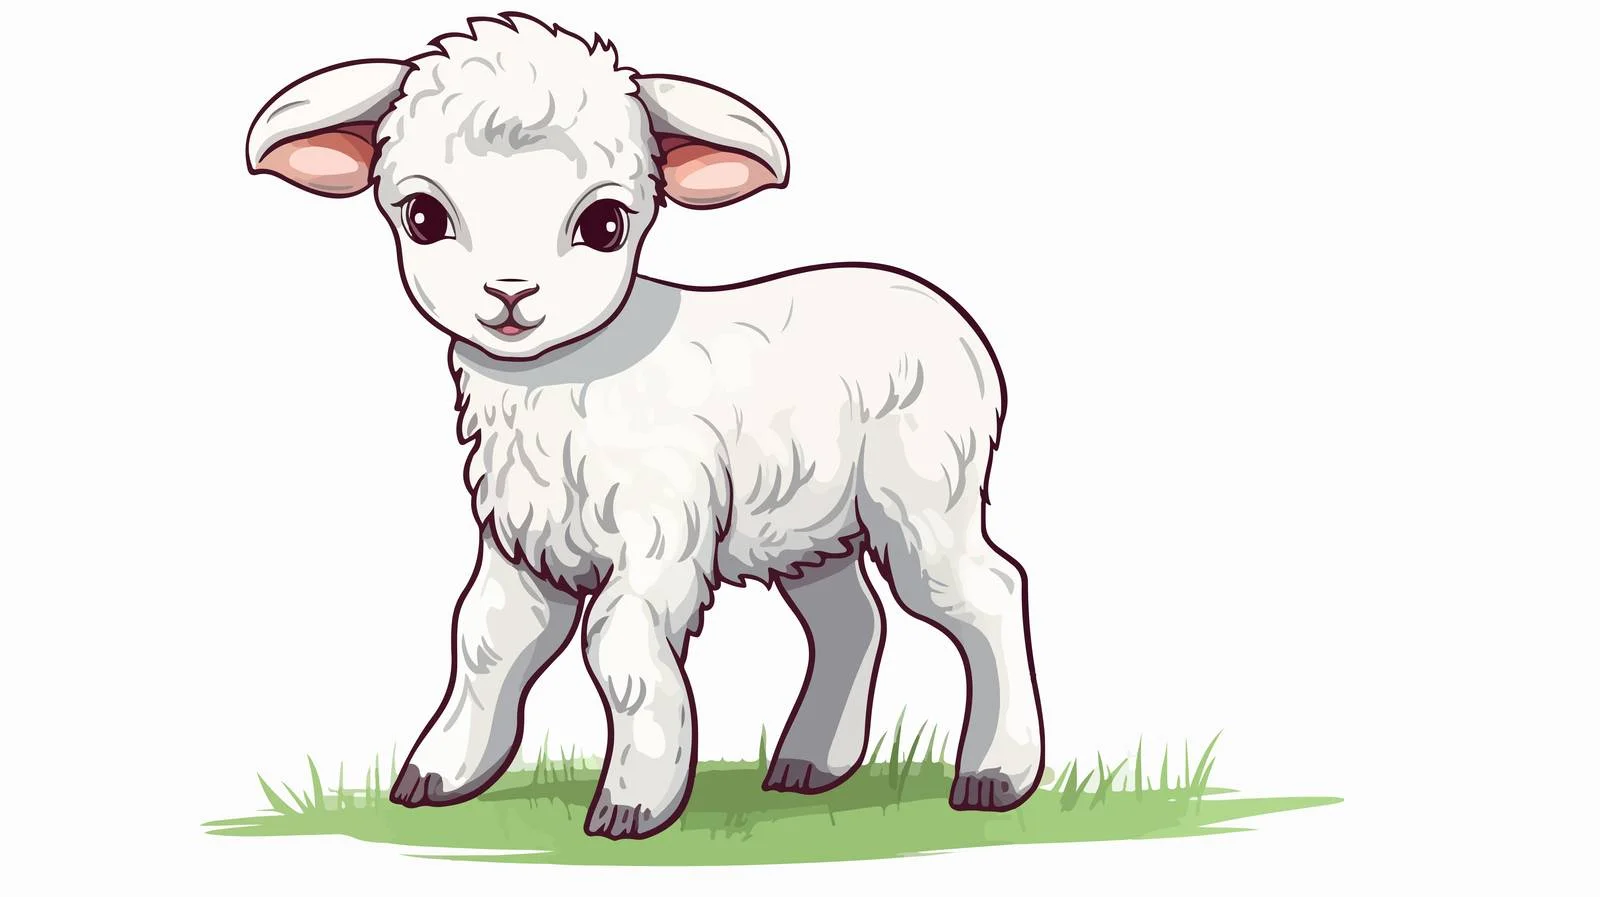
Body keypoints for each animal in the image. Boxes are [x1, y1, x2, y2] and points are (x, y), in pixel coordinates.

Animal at [244, 12, 1043, 839]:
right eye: (424, 216)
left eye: (604, 223)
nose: (510, 294)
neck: (566, 379)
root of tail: (950, 316)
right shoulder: (522, 535)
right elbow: (486, 639)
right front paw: (440, 771)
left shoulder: (662, 521)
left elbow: (619, 648)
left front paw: (633, 798)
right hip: (811, 521)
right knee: (851, 619)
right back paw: (808, 763)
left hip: (924, 490)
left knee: (985, 590)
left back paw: (995, 773)